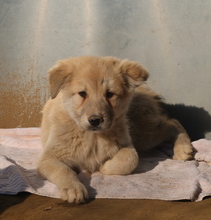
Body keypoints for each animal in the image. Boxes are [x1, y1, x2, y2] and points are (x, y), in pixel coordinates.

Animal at [37, 55, 194, 204]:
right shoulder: (49, 157)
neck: (93, 137)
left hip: (142, 133)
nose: (95, 120)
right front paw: (73, 188)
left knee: (172, 122)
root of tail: (144, 90)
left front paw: (104, 167)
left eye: (110, 94)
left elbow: (130, 159)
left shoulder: (126, 144)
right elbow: (63, 170)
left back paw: (183, 149)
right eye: (82, 93)